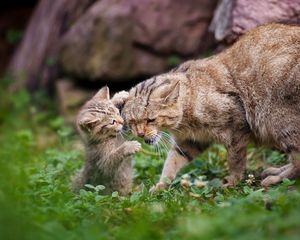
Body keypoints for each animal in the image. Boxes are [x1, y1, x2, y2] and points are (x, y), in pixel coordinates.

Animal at [122, 23, 300, 191]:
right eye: (132, 122)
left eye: (150, 120)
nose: (140, 134)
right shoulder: (191, 141)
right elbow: (172, 161)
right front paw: (161, 185)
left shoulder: (236, 129)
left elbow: (235, 160)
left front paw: (233, 181)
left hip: (278, 120)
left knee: (297, 159)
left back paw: (275, 178)